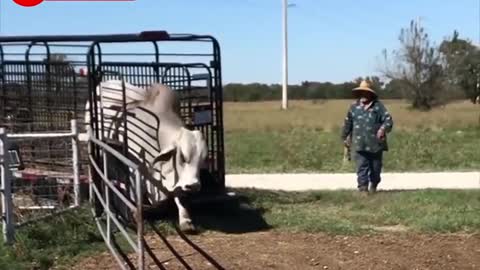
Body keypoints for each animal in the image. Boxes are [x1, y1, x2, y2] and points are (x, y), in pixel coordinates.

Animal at [85, 79, 208, 232]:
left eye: (203, 160)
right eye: (182, 157)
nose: (194, 186)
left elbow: (180, 196)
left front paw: (186, 221)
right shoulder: (134, 168)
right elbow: (135, 194)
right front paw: (135, 216)